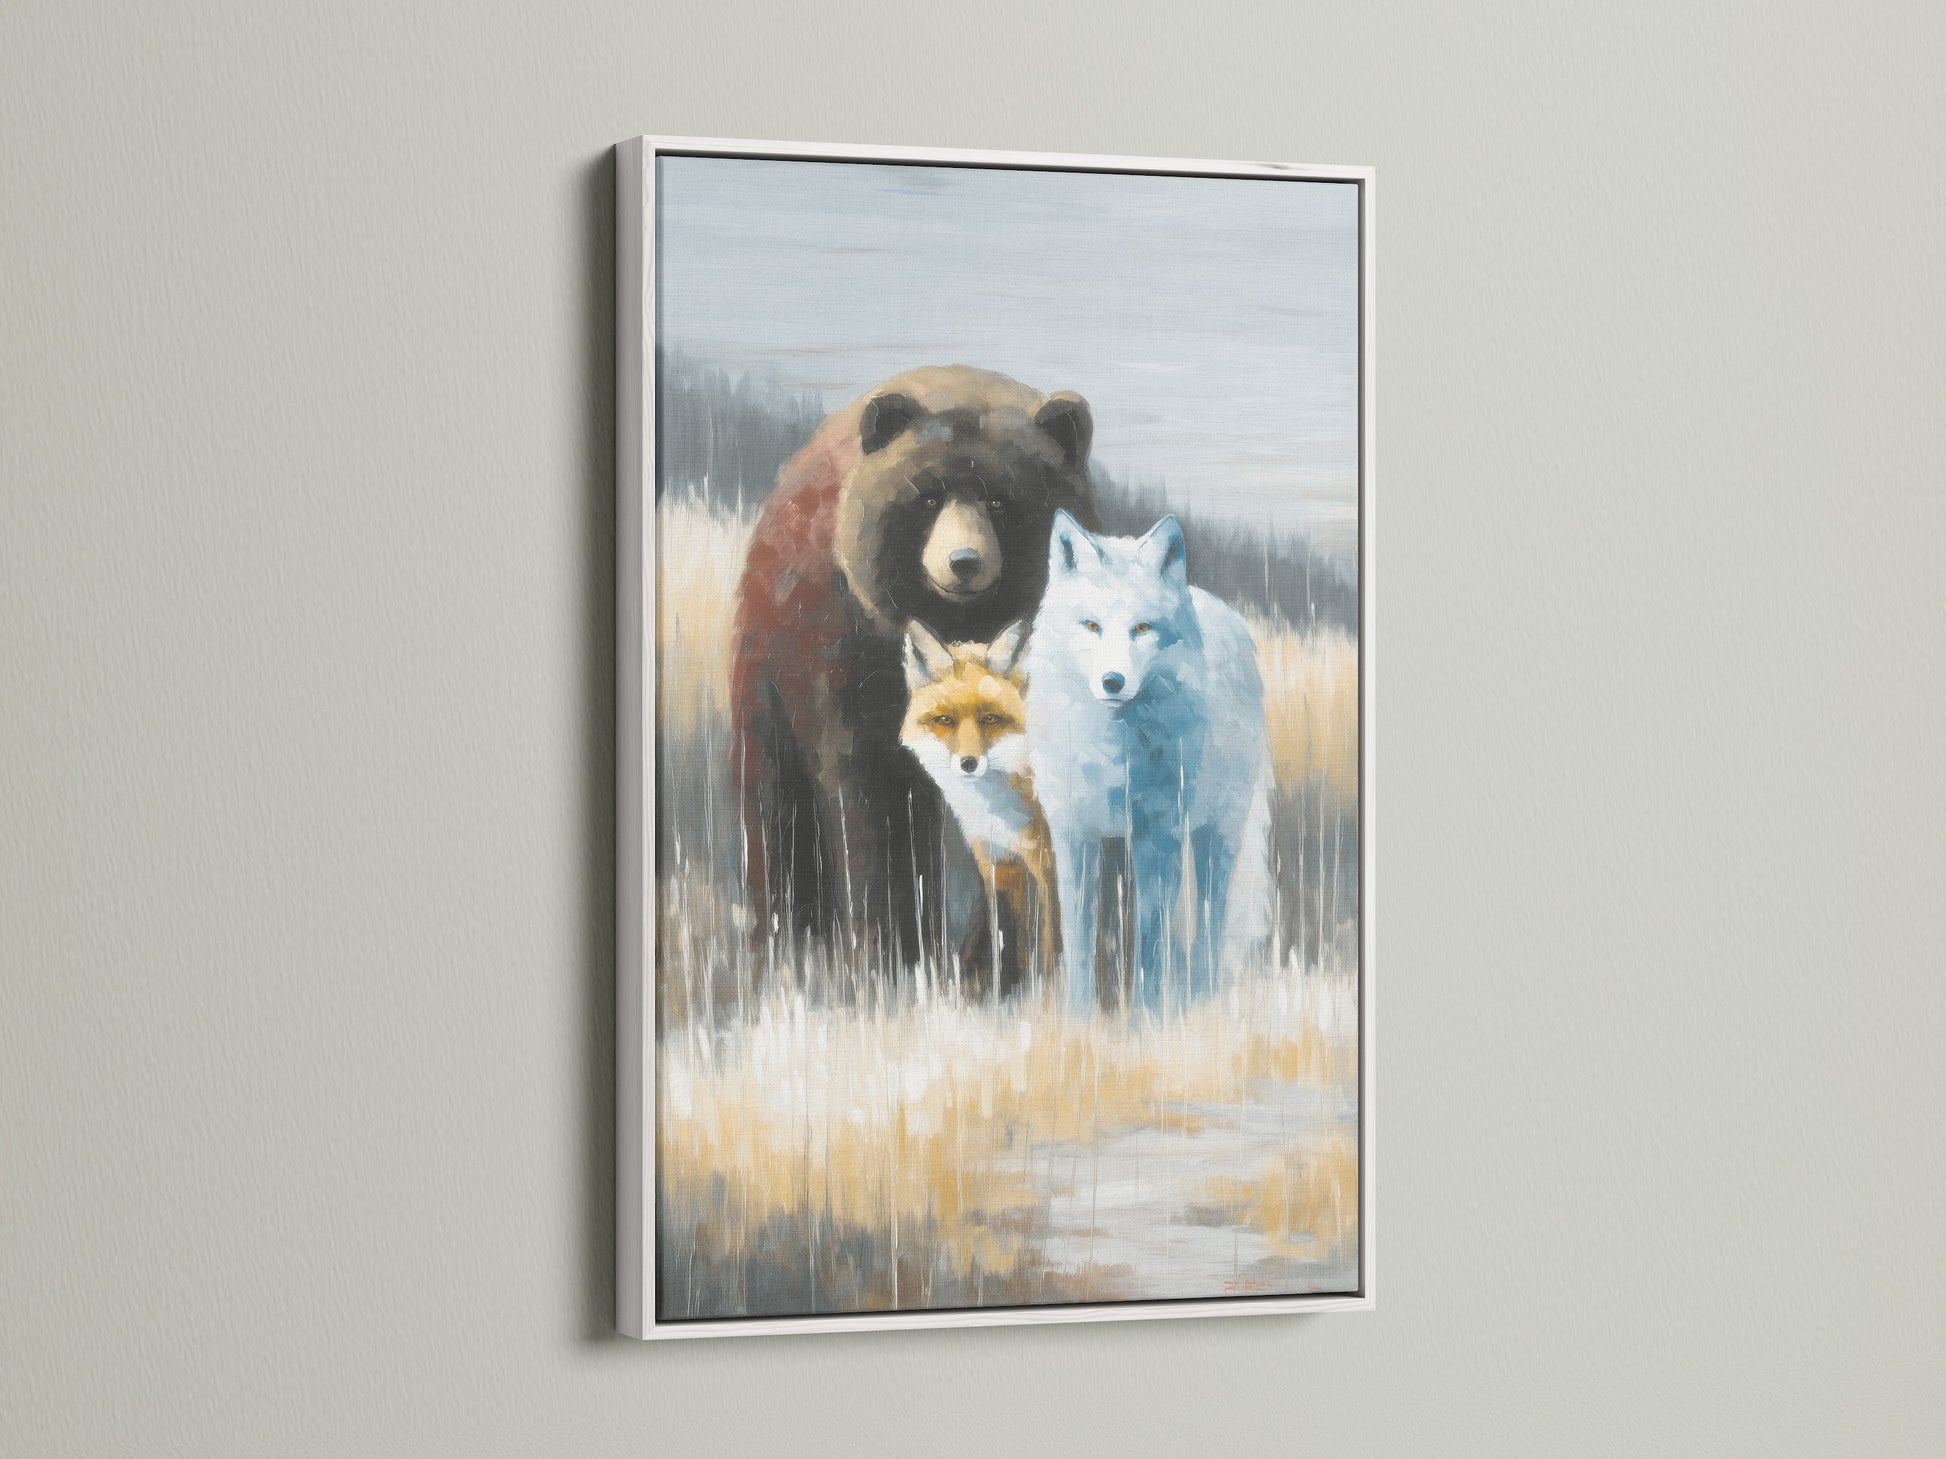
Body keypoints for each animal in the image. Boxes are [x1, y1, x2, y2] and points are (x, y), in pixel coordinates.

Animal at [900, 620, 1058, 999]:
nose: (968, 764)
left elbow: (1052, 942)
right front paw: (1004, 995)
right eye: (945, 720)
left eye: (990, 719)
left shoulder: (1049, 863)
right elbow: (1007, 936)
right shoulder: (998, 862)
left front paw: (1053, 999)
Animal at [1024, 510, 1270, 1015]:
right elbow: (1080, 938)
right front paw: (1080, 1021)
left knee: (1209, 921)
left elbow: (1151, 941)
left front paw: (1145, 1020)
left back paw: (1201, 997)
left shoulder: (1158, 835)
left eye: (1142, 628)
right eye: (1091, 625)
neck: (1113, 753)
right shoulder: (1074, 833)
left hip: (1215, 835)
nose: (1113, 682)